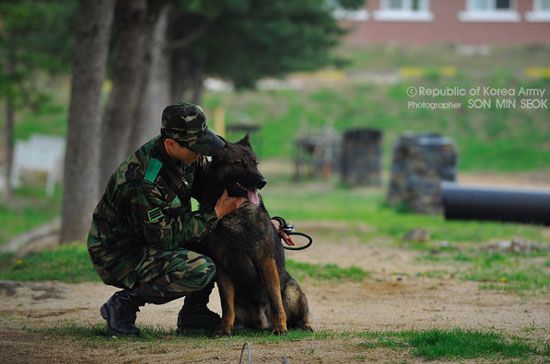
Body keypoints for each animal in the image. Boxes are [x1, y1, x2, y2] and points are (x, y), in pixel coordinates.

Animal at [189, 134, 310, 336]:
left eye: (255, 163)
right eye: (239, 163)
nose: (263, 181)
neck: (234, 214)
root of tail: (262, 322)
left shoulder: (265, 262)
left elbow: (276, 301)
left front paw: (280, 327)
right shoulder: (222, 269)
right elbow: (226, 305)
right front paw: (225, 328)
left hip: (292, 292)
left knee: (297, 313)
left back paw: (302, 325)